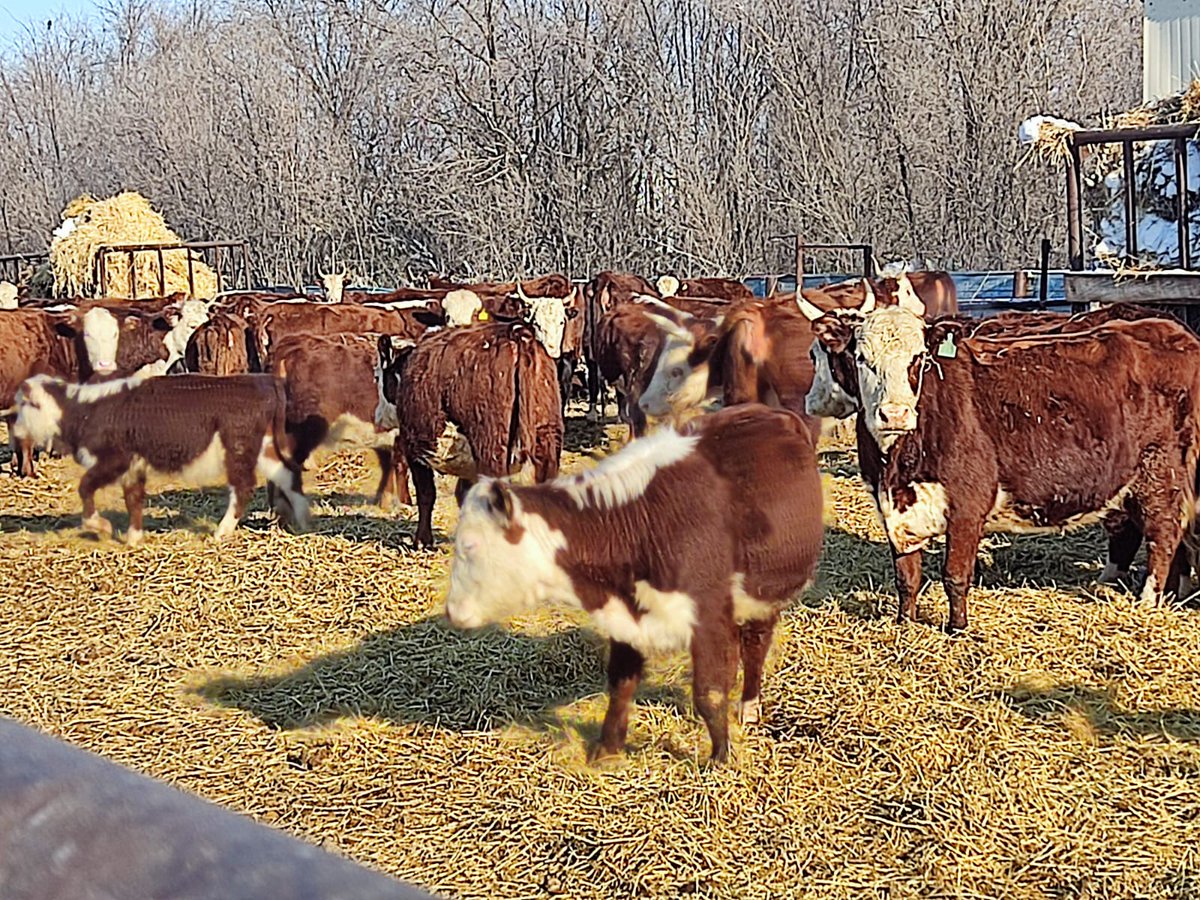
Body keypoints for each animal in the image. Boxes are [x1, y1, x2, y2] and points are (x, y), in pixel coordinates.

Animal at [10, 372, 309, 542]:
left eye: (24, 404)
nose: (14, 429)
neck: (84, 411)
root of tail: (264, 380)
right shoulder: (133, 466)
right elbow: (133, 499)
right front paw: (133, 538)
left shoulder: (115, 460)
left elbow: (85, 488)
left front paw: (102, 526)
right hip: (265, 447)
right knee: (287, 475)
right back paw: (303, 519)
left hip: (237, 447)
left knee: (243, 487)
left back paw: (221, 532)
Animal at [376, 324, 564, 549]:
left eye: (379, 377)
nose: (379, 415)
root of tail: (516, 334)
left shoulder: (413, 446)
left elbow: (426, 494)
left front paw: (422, 541)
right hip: (548, 440)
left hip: (492, 451)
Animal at [444, 405, 825, 763]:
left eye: (470, 546)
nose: (450, 611)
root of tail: (771, 412)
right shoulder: (629, 616)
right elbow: (622, 683)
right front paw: (607, 749)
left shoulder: (709, 617)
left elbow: (710, 691)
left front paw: (720, 758)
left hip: (766, 594)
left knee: (756, 647)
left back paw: (749, 706)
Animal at [840, 285, 1200, 628]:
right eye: (861, 358)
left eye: (919, 359)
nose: (895, 414)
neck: (896, 464)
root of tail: (1173, 331)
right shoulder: (894, 511)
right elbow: (907, 578)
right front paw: (905, 622)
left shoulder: (968, 505)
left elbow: (955, 576)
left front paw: (957, 628)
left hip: (1160, 475)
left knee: (1163, 537)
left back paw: (1149, 600)